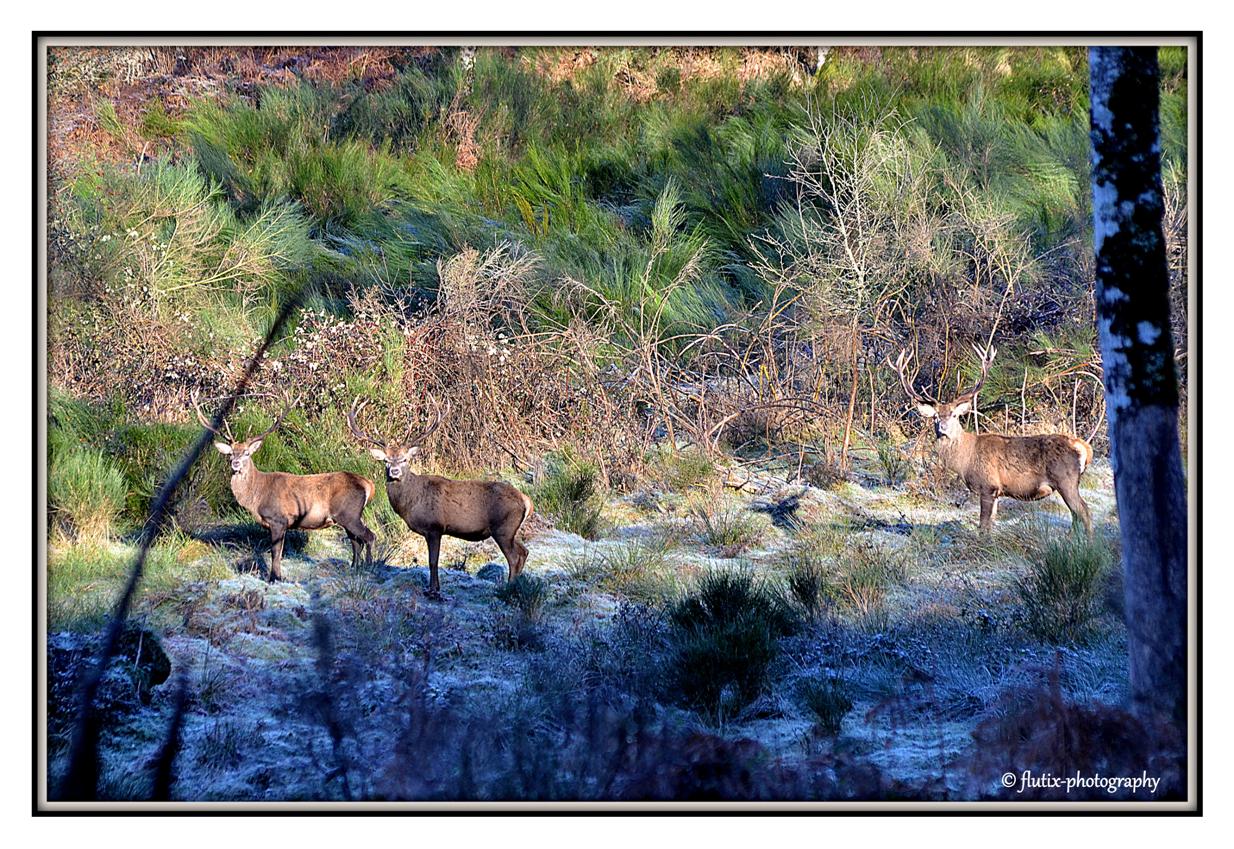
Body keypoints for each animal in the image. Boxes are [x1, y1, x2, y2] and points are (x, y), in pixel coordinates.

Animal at [191, 392, 375, 579]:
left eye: (247, 453)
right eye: (230, 453)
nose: (235, 463)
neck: (257, 496)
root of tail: (367, 484)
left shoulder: (278, 518)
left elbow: (275, 552)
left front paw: (274, 577)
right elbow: (277, 552)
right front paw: (277, 576)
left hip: (349, 513)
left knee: (369, 537)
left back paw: (369, 567)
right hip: (347, 517)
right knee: (356, 542)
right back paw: (353, 569)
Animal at [350, 397, 538, 597]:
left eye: (405, 459)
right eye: (386, 460)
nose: (394, 471)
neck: (412, 500)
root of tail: (526, 501)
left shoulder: (434, 527)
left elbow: (433, 561)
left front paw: (433, 591)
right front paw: (435, 588)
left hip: (503, 527)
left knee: (514, 557)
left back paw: (508, 588)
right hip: (510, 530)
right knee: (524, 551)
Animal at [893, 345, 1095, 533]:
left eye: (954, 415)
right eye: (935, 416)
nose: (943, 427)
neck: (965, 459)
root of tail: (1084, 447)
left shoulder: (987, 485)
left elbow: (983, 526)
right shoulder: (997, 492)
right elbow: (990, 525)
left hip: (1065, 479)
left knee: (1084, 512)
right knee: (1076, 515)